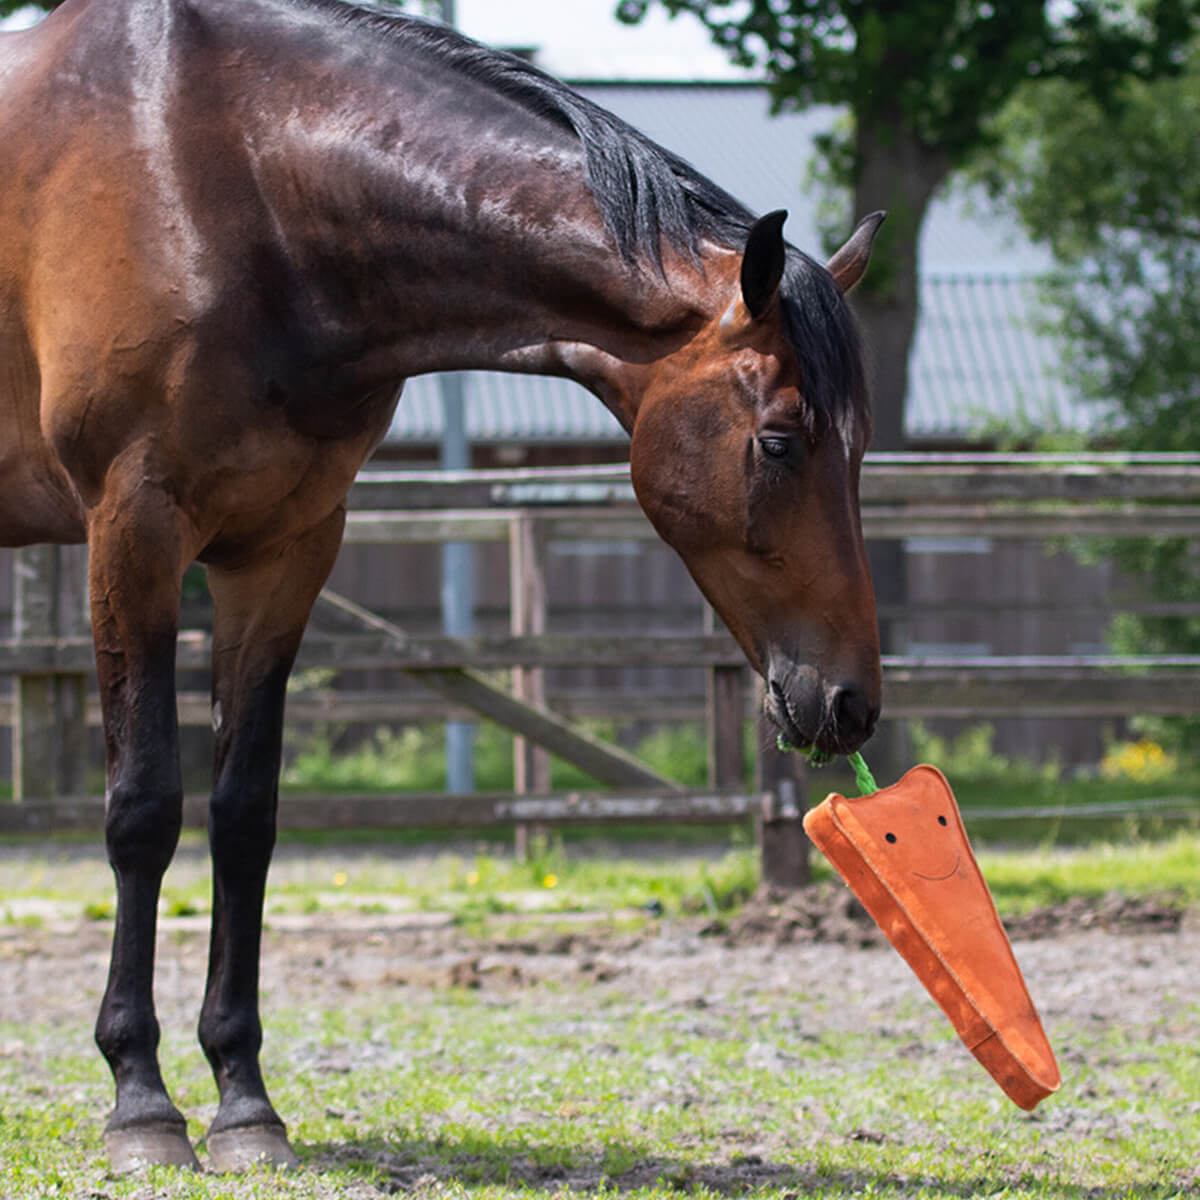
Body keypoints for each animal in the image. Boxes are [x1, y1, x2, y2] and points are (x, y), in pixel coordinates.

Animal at [0, 0, 883, 1176]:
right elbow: (144, 809)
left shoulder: (284, 548)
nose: (851, 701)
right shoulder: (131, 531)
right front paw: (141, 1100)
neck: (224, 174)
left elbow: (245, 816)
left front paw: (244, 1100)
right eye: (780, 442)